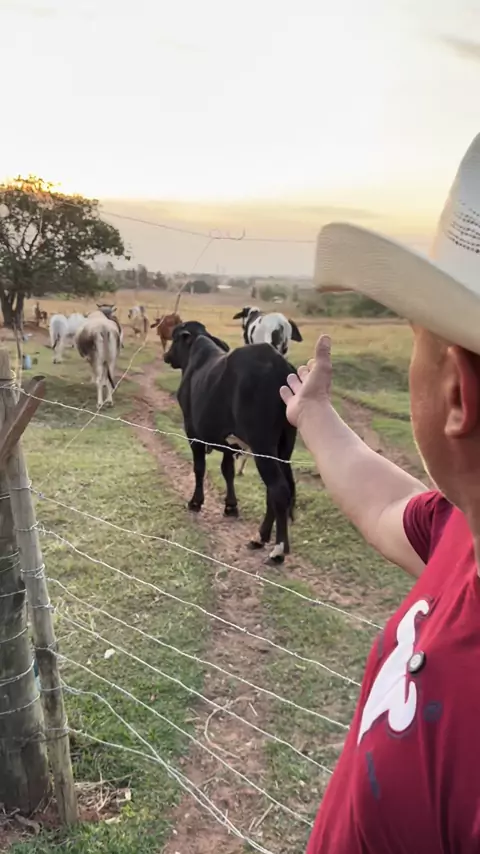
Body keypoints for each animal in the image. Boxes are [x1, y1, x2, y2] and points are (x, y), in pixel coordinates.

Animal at [164, 320, 297, 564]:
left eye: (176, 337)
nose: (166, 355)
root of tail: (281, 366)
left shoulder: (192, 433)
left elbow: (199, 468)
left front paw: (196, 502)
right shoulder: (230, 443)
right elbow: (227, 471)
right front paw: (231, 506)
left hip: (263, 445)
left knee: (279, 489)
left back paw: (278, 548)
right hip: (284, 447)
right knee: (275, 490)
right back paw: (261, 537)